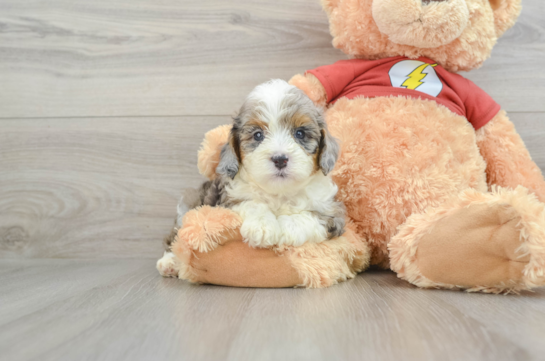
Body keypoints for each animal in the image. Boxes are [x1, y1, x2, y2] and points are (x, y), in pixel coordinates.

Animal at [157, 79, 344, 276]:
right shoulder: (229, 200)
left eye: (300, 133)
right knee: (175, 236)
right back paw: (169, 262)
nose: (280, 159)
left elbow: (310, 216)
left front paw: (287, 229)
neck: (279, 192)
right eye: (258, 135)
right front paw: (262, 227)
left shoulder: (334, 214)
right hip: (189, 205)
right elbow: (252, 204)